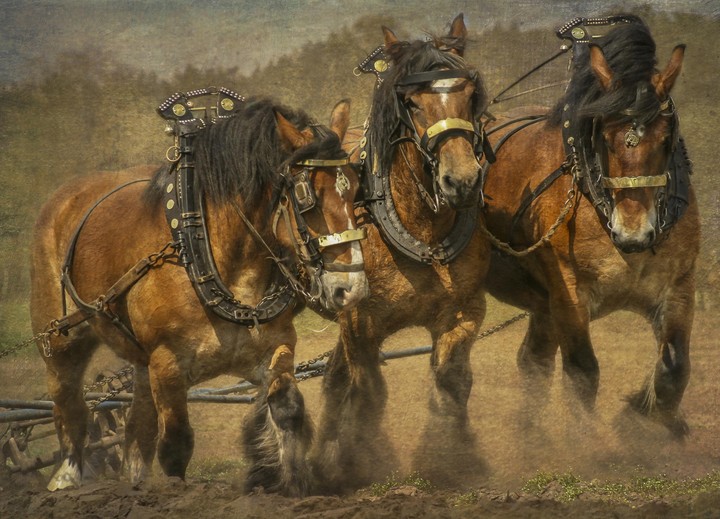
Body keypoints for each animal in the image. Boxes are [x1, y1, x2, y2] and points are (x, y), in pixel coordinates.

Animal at [30, 95, 369, 496]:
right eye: (307, 200)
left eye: (355, 190)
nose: (351, 288)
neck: (209, 256)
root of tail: (65, 196)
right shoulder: (168, 364)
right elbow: (176, 443)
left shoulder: (276, 346)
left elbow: (287, 410)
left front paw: (291, 488)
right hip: (60, 338)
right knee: (68, 403)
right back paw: (66, 480)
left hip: (141, 363)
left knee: (137, 427)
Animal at [311, 14, 491, 492]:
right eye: (411, 102)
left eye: (469, 94)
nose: (461, 181)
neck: (419, 228)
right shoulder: (359, 320)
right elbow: (370, 392)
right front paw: (359, 461)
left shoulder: (464, 310)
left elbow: (451, 378)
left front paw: (453, 457)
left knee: (334, 379)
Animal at [481, 16, 698, 438]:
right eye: (605, 135)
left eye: (666, 138)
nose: (634, 234)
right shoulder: (569, 295)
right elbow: (583, 373)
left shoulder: (679, 288)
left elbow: (673, 369)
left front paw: (645, 426)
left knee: (533, 361)